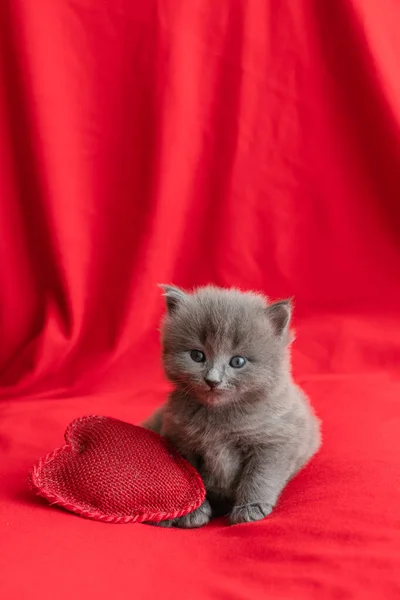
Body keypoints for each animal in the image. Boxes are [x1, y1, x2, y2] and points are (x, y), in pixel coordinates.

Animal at [142, 284, 320, 524]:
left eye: (237, 361)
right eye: (197, 356)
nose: (212, 380)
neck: (219, 418)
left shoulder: (274, 442)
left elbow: (260, 477)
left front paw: (250, 508)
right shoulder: (181, 441)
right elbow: (189, 479)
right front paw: (192, 512)